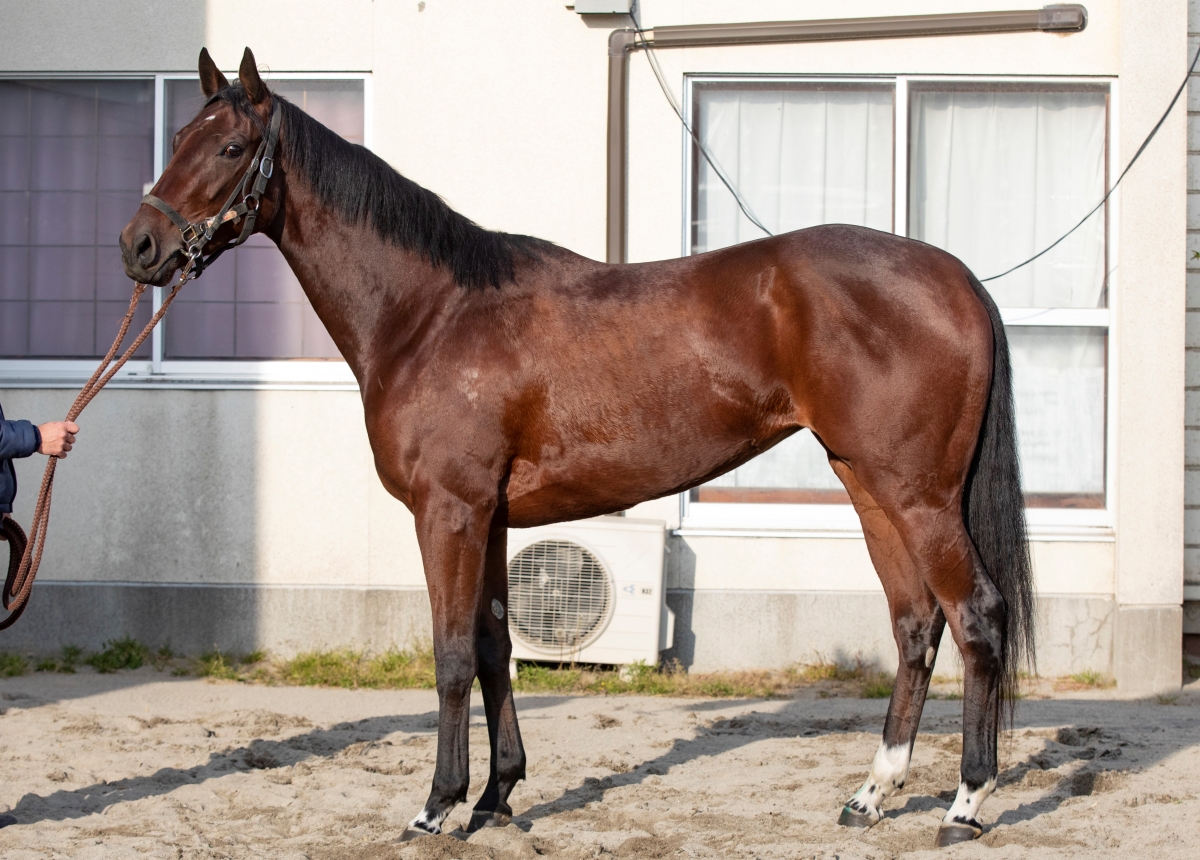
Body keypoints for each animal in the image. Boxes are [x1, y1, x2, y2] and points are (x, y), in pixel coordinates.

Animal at [119, 47, 1034, 848]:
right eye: (179, 136)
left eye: (231, 147)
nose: (139, 246)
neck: (432, 312)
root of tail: (955, 276)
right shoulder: (489, 520)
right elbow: (496, 650)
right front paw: (496, 800)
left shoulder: (448, 513)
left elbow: (451, 656)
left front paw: (437, 807)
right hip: (869, 485)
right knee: (915, 624)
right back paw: (871, 795)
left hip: (919, 495)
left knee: (977, 616)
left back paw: (966, 802)